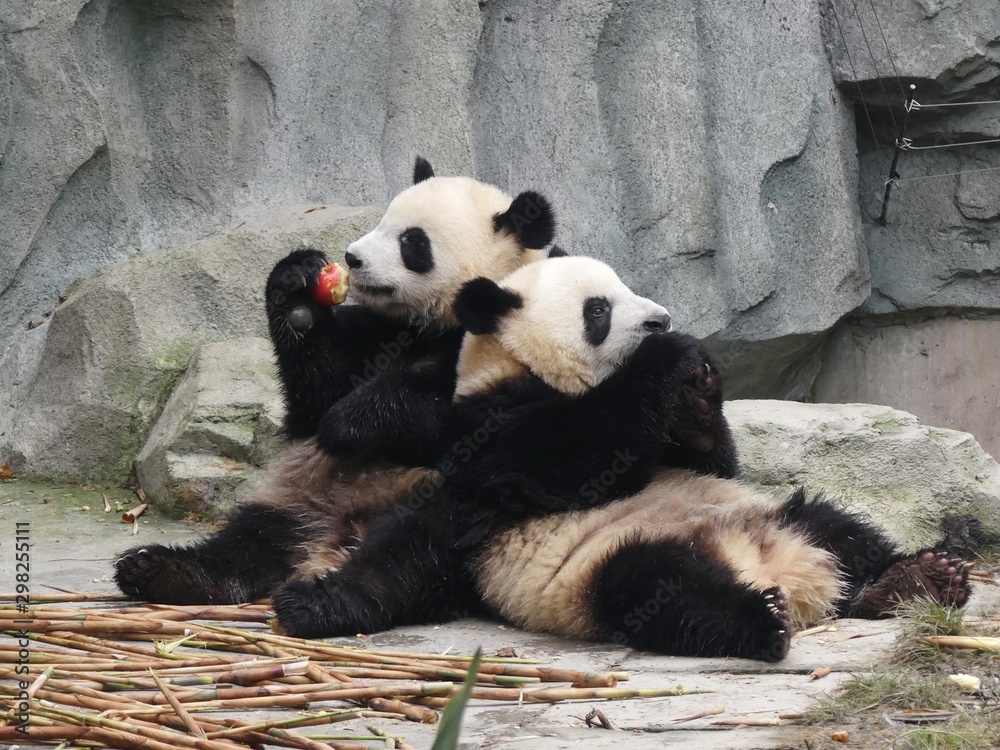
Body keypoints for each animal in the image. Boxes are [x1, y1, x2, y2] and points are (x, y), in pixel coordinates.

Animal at [113, 157, 557, 605]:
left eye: (413, 242)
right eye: (382, 221)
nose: (352, 258)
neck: (428, 325)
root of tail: (334, 532)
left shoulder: (519, 349)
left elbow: (472, 421)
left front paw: (348, 423)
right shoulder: (374, 333)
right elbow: (316, 391)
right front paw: (297, 288)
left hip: (444, 504)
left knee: (417, 553)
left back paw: (328, 598)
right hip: (291, 493)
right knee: (248, 540)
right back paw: (164, 571)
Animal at [272, 256, 972, 663]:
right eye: (599, 309)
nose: (660, 320)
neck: (516, 367)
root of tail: (787, 572)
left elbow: (714, 464)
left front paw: (697, 387)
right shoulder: (483, 424)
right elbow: (563, 457)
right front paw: (670, 360)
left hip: (776, 515)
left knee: (837, 526)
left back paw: (919, 578)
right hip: (603, 569)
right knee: (662, 591)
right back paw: (762, 621)